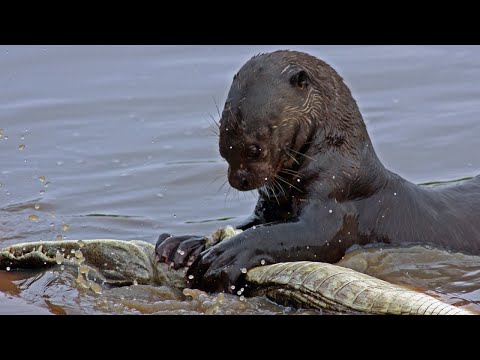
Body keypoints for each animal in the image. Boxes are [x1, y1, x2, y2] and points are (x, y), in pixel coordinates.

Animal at [157, 50, 480, 292]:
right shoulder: (272, 207)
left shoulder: (336, 198)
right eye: (223, 145)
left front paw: (224, 256)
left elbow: (300, 235)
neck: (337, 161)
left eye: (255, 148)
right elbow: (253, 223)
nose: (240, 180)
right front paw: (183, 244)